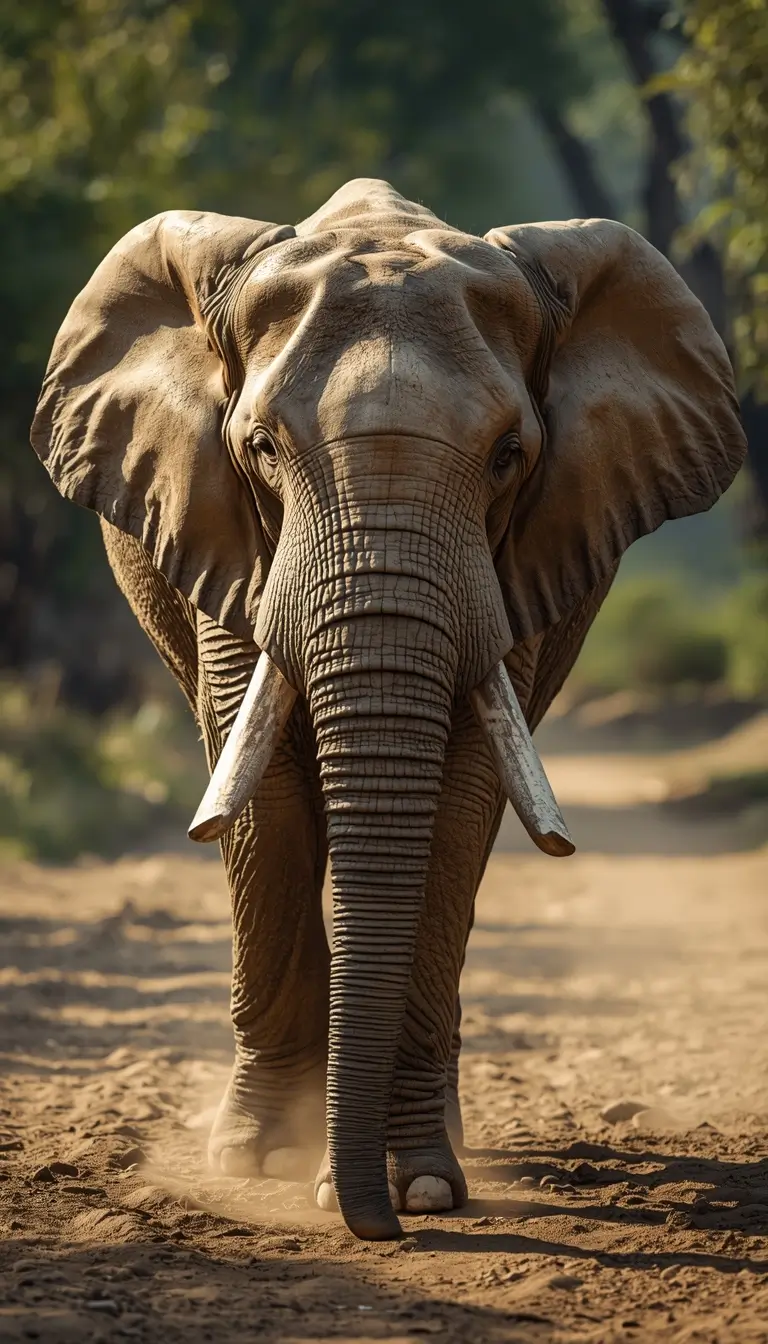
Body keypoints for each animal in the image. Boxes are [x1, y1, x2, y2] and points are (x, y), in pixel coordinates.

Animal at [31, 178, 745, 1241]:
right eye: (261, 448)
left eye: (509, 455)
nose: (381, 1226)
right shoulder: (225, 536)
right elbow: (268, 796)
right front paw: (269, 1161)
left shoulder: (514, 561)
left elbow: (458, 802)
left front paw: (421, 1187)